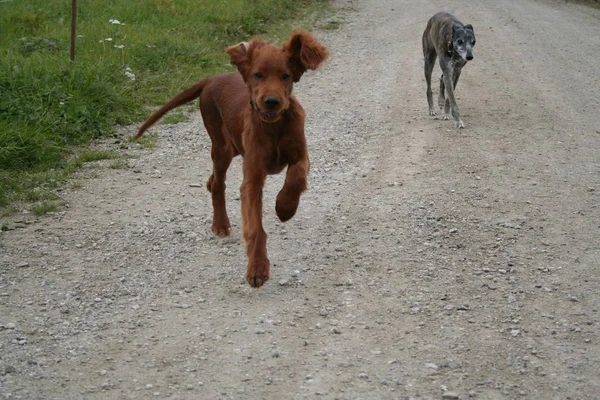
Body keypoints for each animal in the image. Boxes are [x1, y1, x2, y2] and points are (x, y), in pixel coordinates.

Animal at [135, 31, 328, 288]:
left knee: (211, 181)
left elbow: (296, 178)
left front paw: (284, 208)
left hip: (235, 147)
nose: (271, 101)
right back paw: (220, 224)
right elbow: (255, 227)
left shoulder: (300, 155)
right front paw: (257, 269)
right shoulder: (253, 178)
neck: (274, 127)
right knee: (218, 184)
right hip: (222, 146)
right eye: (258, 75)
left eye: (285, 76)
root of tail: (211, 79)